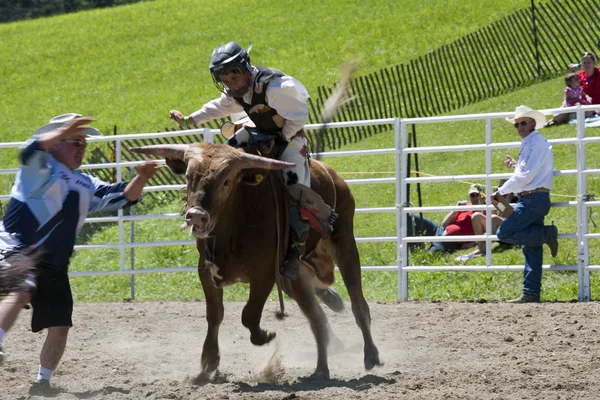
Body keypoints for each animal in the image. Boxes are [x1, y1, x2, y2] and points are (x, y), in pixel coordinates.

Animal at [134, 142, 382, 380]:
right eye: (188, 177)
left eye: (226, 181)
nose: (196, 215)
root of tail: (333, 175)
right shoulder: (205, 270)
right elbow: (215, 315)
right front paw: (208, 362)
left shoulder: (264, 273)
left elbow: (249, 314)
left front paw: (264, 335)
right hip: (298, 274)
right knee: (318, 319)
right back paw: (321, 368)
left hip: (344, 243)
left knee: (358, 304)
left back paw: (370, 354)